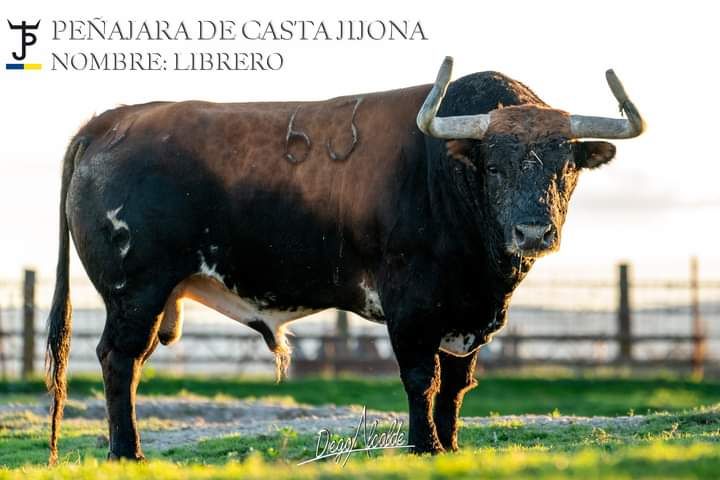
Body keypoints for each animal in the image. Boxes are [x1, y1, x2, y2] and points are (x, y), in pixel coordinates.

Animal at [47, 56, 648, 462]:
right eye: (494, 167)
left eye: (565, 167)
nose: (533, 231)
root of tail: (109, 121)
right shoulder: (411, 304)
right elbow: (422, 377)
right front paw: (424, 446)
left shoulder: (469, 315)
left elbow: (456, 384)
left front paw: (450, 446)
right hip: (135, 291)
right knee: (118, 360)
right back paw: (127, 452)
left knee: (129, 361)